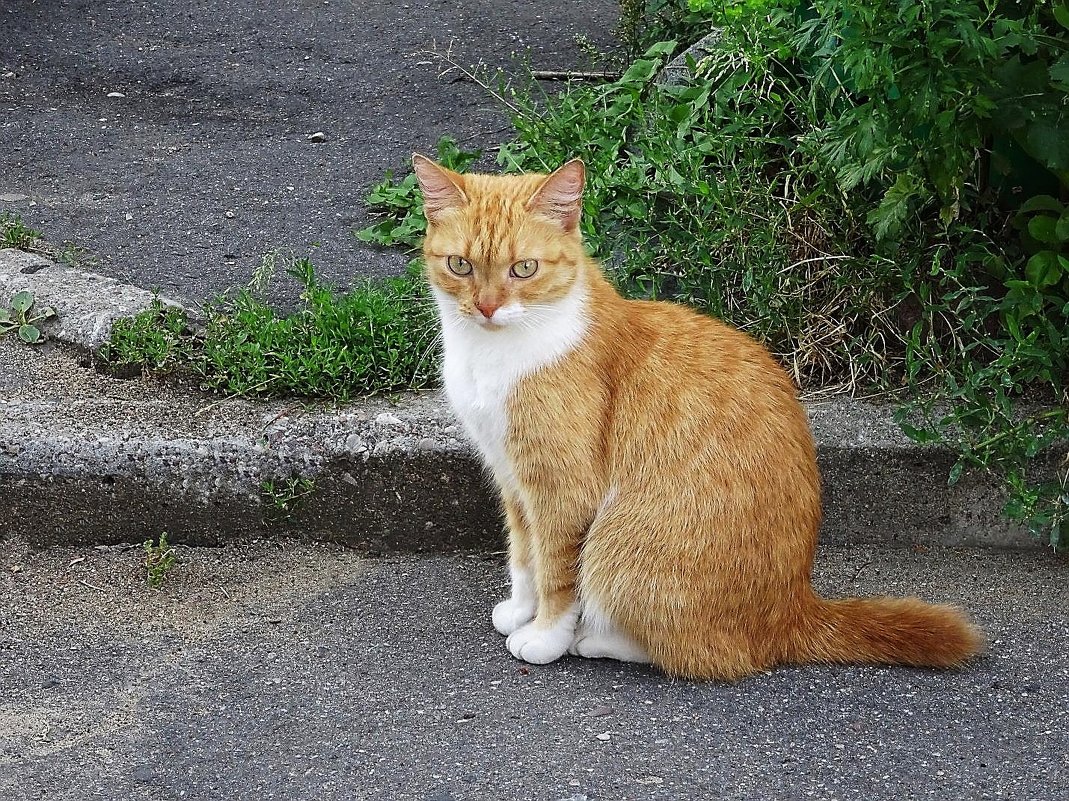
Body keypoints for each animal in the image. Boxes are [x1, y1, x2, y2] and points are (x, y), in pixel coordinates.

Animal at [410, 152, 983, 680]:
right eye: (460, 265)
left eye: (523, 269)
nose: (486, 307)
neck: (494, 354)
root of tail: (793, 609)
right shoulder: (511, 478)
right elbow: (523, 555)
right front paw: (521, 610)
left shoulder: (561, 490)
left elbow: (555, 570)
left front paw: (546, 635)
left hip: (619, 543)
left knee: (700, 654)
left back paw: (595, 640)